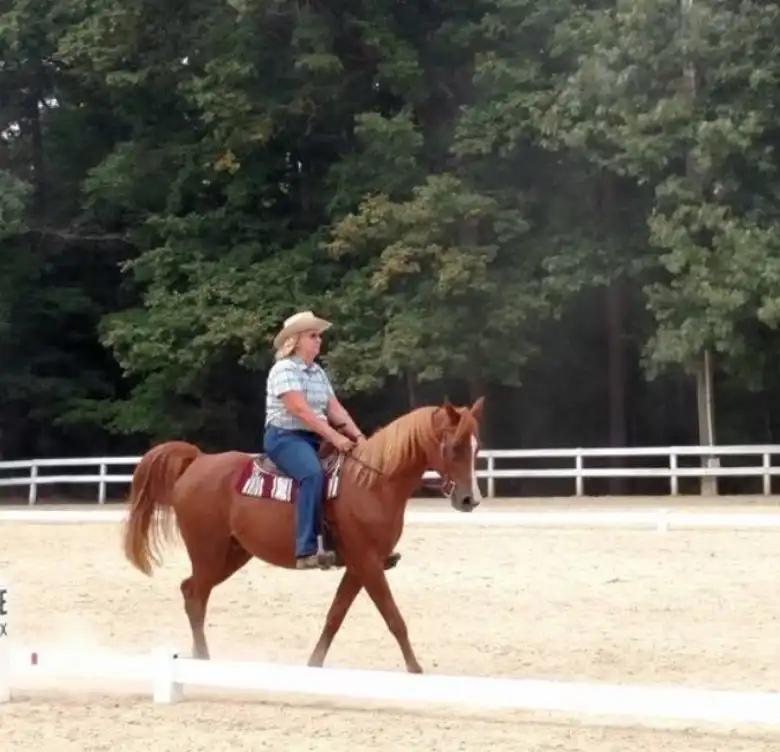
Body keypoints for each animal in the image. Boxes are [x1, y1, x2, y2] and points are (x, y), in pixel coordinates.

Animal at [122, 397, 485, 673]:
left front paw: (314, 664)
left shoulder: (358, 567)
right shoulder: (368, 564)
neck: (372, 483)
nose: (470, 499)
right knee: (196, 596)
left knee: (190, 591)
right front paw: (416, 670)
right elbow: (394, 618)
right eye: (454, 447)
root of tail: (197, 462)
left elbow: (335, 616)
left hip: (232, 554)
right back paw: (204, 659)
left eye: (476, 448)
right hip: (207, 552)